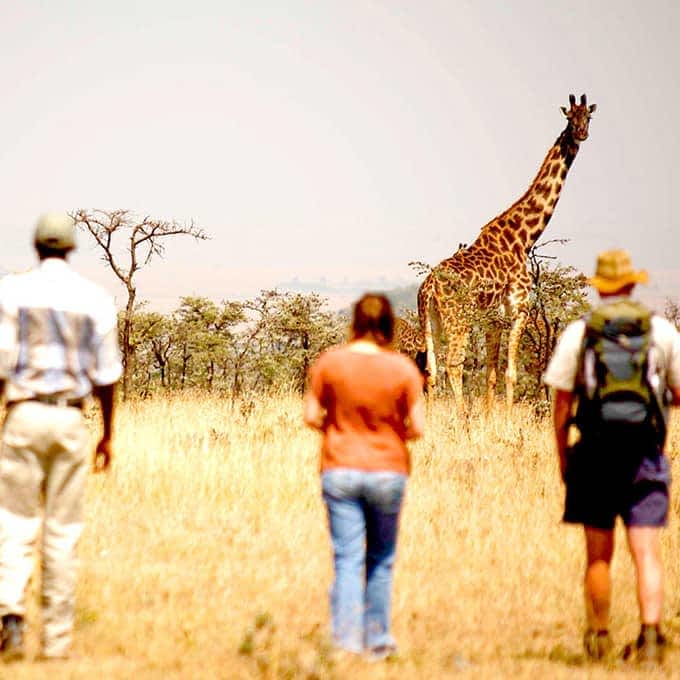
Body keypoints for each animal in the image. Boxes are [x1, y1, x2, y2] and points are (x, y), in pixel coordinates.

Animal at [420, 93, 596, 406]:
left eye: (588, 116)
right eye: (569, 117)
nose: (581, 133)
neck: (522, 238)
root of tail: (428, 287)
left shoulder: (494, 320)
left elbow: (491, 376)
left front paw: (490, 417)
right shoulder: (519, 308)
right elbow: (510, 374)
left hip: (430, 320)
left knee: (431, 370)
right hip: (458, 319)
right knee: (453, 365)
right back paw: (461, 416)